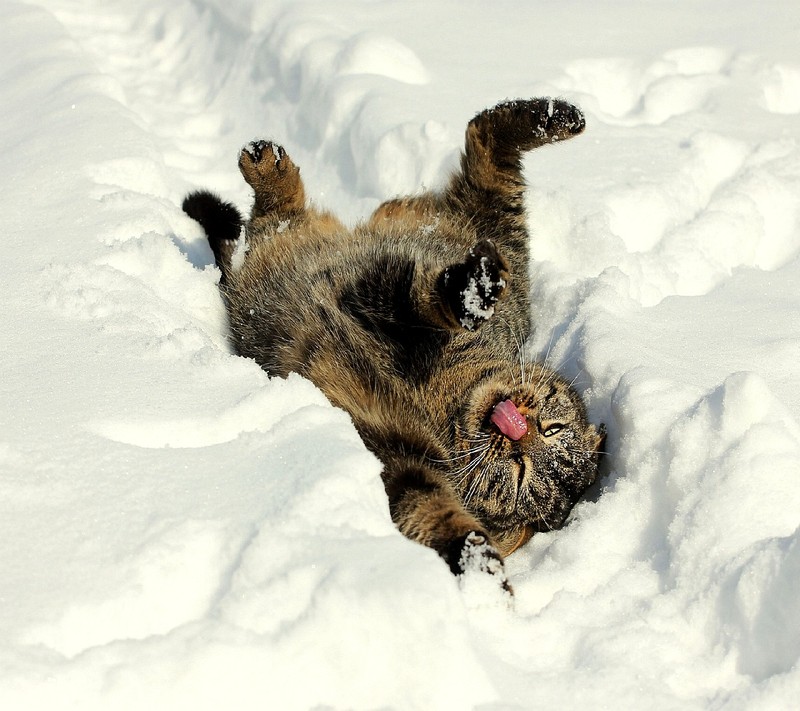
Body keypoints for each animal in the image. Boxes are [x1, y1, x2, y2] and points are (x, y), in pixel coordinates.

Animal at [183, 98, 608, 588]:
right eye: (552, 429)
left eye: (521, 475)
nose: (517, 431)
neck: (446, 399)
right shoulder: (402, 308)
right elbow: (431, 302)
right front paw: (471, 291)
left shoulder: (402, 461)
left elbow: (433, 512)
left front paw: (481, 568)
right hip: (485, 237)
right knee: (484, 147)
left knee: (271, 223)